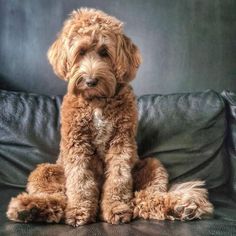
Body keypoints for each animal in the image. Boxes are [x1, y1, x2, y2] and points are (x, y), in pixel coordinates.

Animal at [6, 8, 213, 227]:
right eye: (80, 52)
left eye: (104, 52)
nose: (90, 81)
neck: (97, 101)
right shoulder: (77, 144)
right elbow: (80, 180)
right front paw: (79, 211)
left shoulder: (120, 143)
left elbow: (118, 178)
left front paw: (116, 208)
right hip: (46, 171)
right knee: (59, 198)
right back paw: (29, 208)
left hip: (150, 165)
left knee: (144, 197)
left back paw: (181, 207)